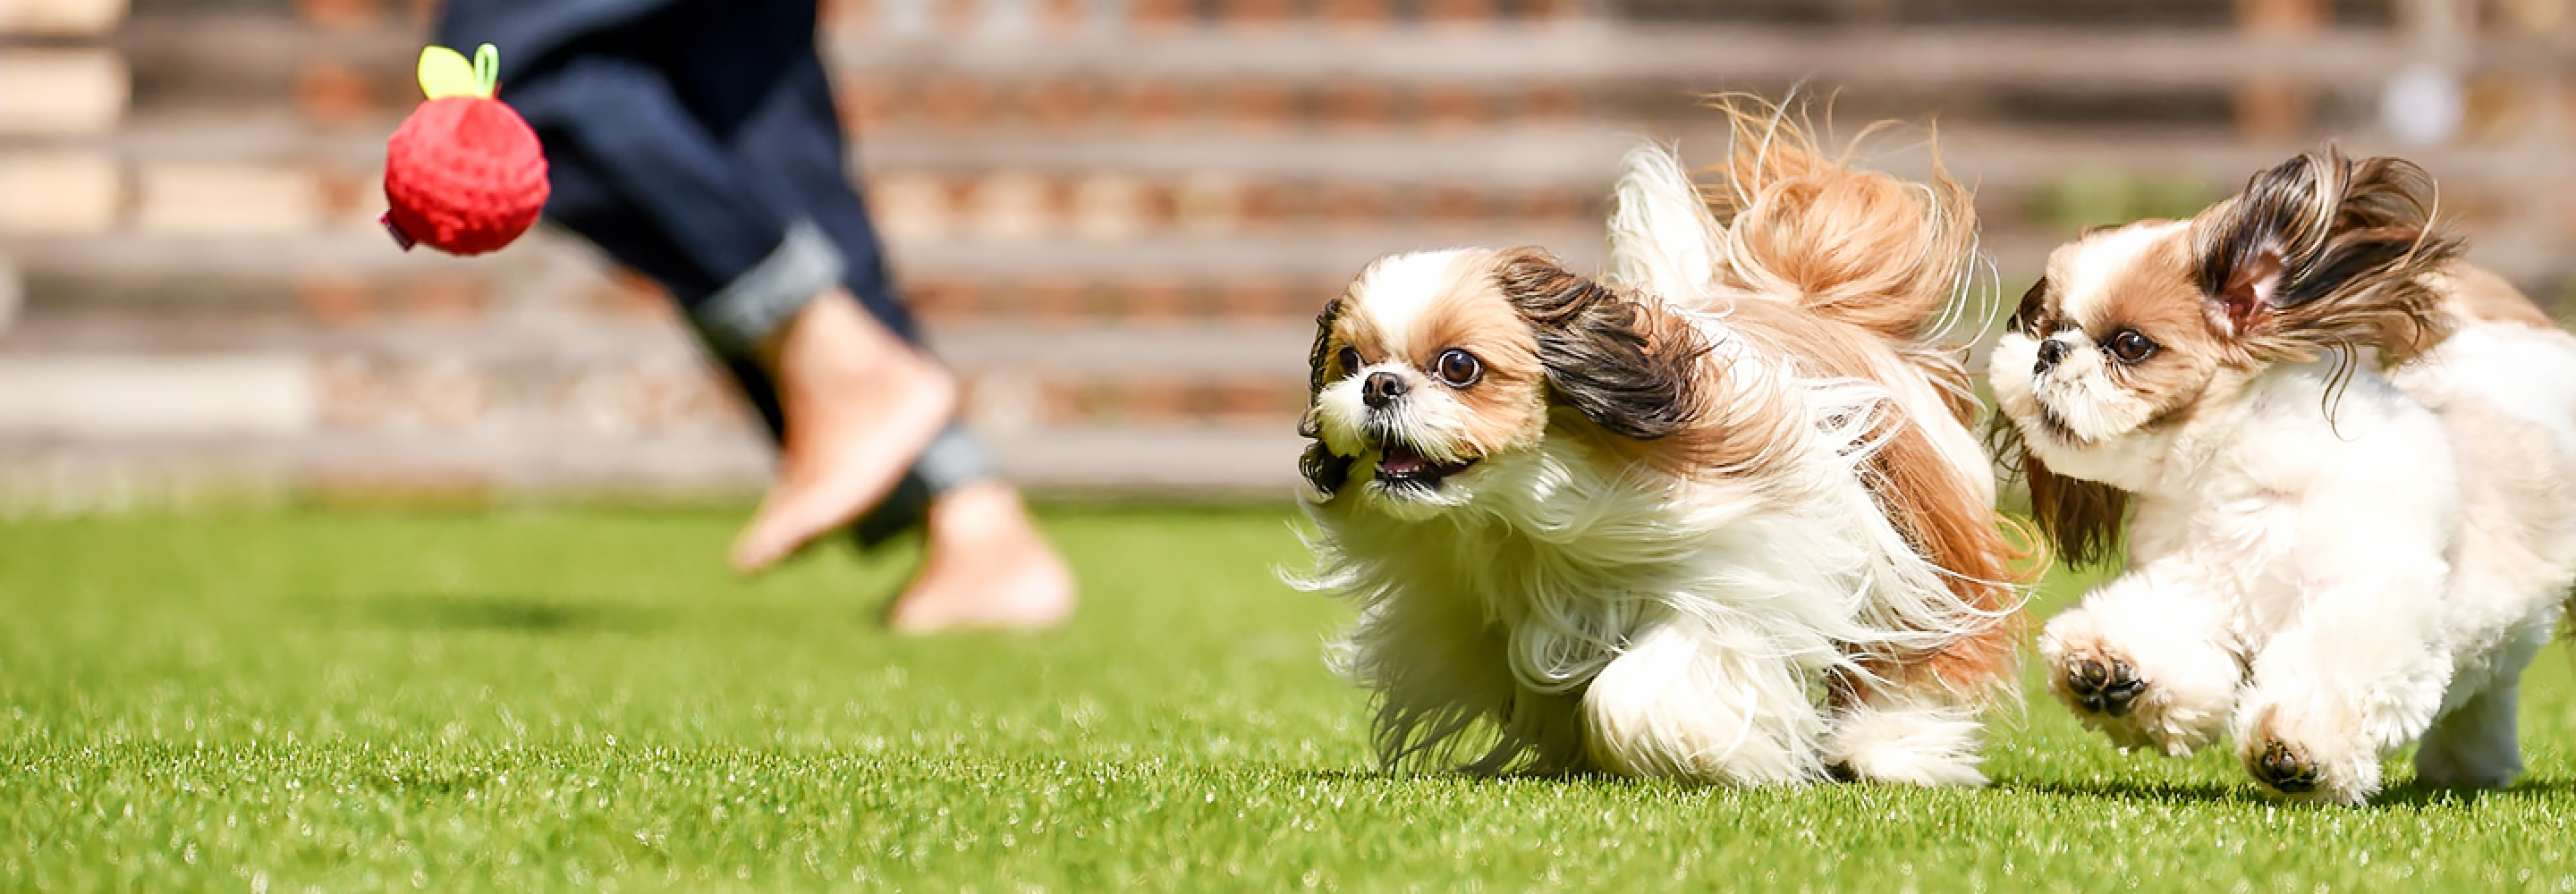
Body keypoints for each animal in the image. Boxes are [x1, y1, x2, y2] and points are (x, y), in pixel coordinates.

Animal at [1288, 108, 2029, 788]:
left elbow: (1628, 695)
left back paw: (1882, 750)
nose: (1378, 385)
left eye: (1459, 366)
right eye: (1349, 360)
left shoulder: (1742, 580)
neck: (1532, 502)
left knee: (1909, 658)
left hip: (1920, 544)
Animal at [1998, 150, 2576, 808]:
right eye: (2047, 324)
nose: (2048, 351)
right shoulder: (2194, 586)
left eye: (2130, 344)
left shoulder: (2370, 591)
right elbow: (2162, 639)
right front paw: (2109, 672)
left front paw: (2296, 750)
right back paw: (2468, 763)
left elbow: (2331, 668)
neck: (2231, 478)